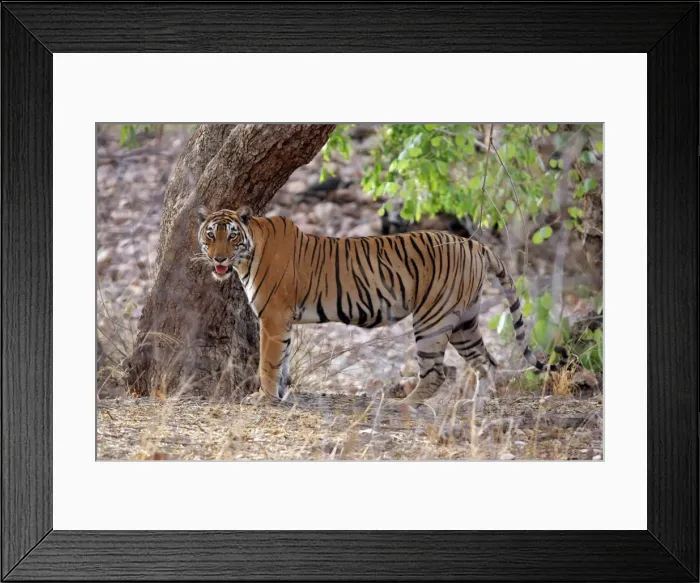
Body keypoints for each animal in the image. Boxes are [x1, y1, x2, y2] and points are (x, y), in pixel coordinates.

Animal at [196, 206, 568, 407]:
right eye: (210, 235)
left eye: (231, 236)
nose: (219, 259)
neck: (248, 253)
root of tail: (474, 245)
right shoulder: (282, 322)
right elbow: (282, 360)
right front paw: (281, 395)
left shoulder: (273, 318)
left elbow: (268, 362)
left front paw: (264, 398)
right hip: (465, 320)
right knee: (486, 363)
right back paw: (475, 405)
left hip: (432, 320)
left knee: (436, 372)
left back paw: (407, 403)